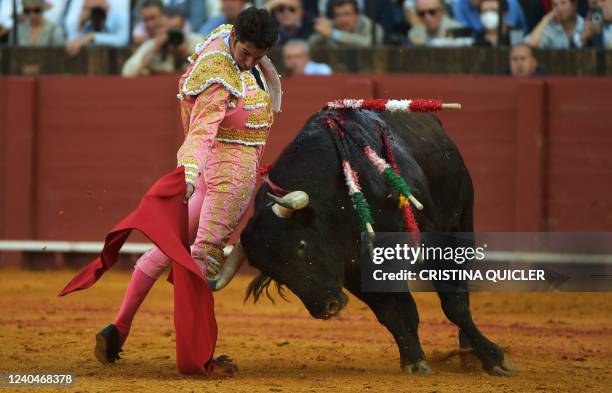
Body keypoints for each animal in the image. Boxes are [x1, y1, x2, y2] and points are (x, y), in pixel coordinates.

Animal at [237, 108, 512, 376]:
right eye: (274, 273)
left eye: (301, 246)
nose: (328, 307)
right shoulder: (356, 270)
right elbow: (394, 313)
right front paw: (414, 360)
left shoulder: (435, 243)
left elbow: (453, 304)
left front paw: (494, 359)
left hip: (462, 221)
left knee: (460, 287)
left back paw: (469, 348)